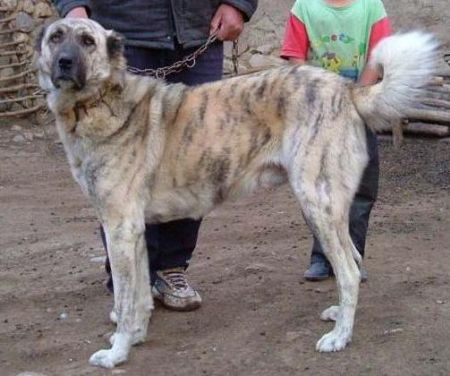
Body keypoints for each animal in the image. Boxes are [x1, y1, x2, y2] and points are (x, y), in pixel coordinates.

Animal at [36, 17, 440, 368]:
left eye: (87, 41)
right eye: (55, 37)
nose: (64, 62)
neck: (98, 101)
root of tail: (345, 89)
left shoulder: (119, 228)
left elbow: (125, 299)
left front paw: (116, 353)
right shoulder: (133, 232)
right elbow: (138, 298)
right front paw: (134, 336)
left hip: (317, 204)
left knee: (349, 273)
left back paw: (340, 337)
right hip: (329, 211)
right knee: (352, 261)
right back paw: (339, 315)